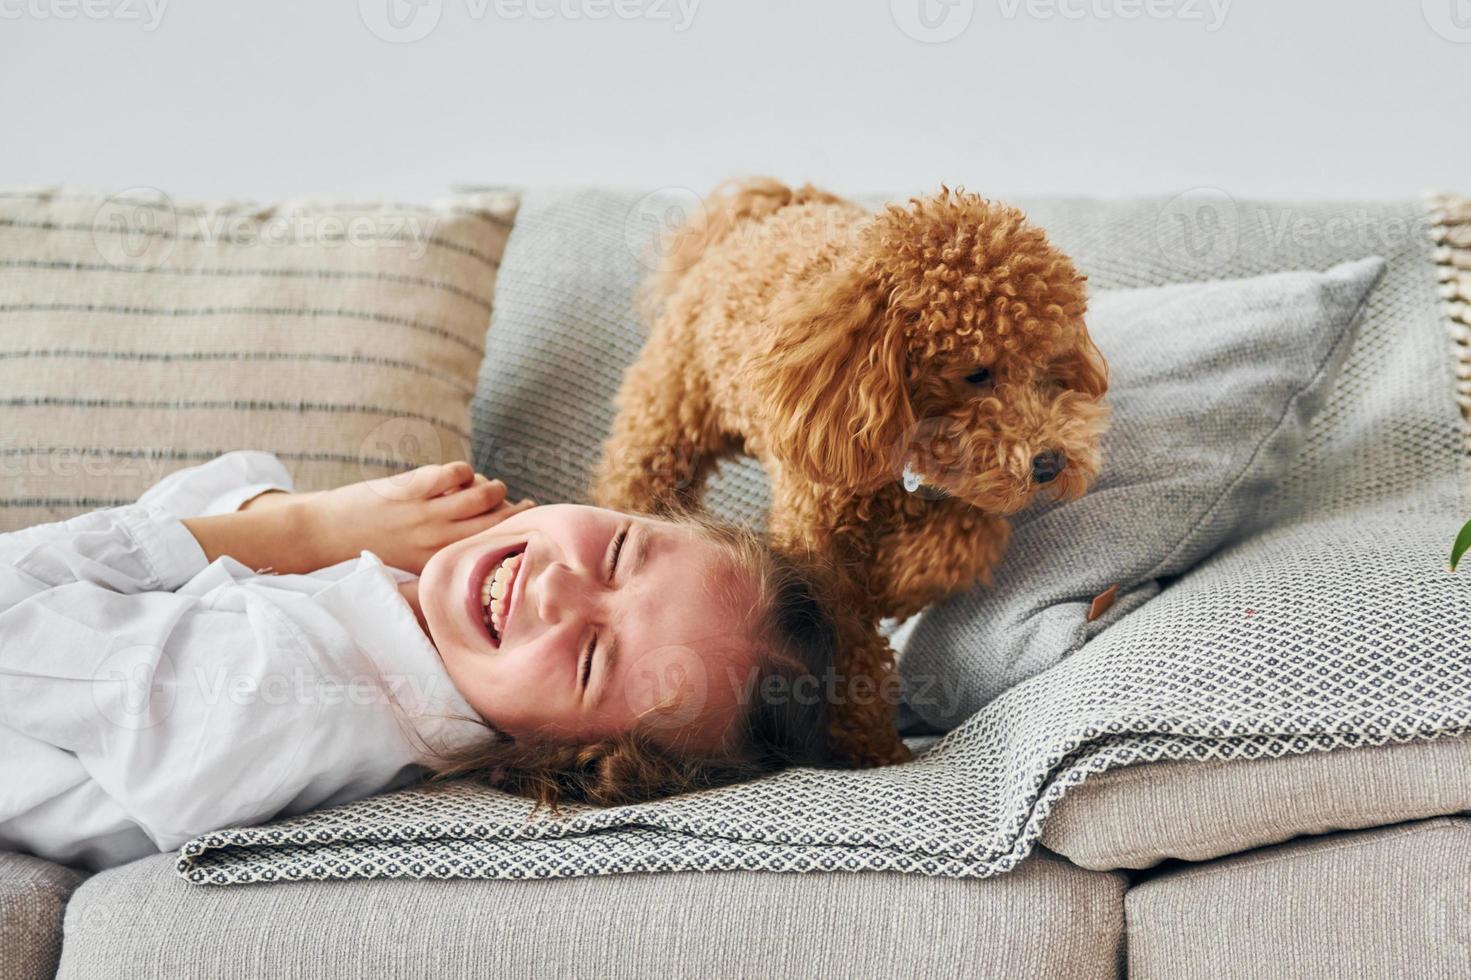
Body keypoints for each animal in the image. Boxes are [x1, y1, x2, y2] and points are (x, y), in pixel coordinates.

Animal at [591, 179, 1106, 765]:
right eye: (977, 373)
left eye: (1050, 366)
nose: (1052, 463)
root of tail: (764, 211)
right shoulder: (818, 538)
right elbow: (850, 647)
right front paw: (870, 748)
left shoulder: (952, 493)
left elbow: (961, 544)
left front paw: (897, 586)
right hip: (667, 416)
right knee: (635, 479)